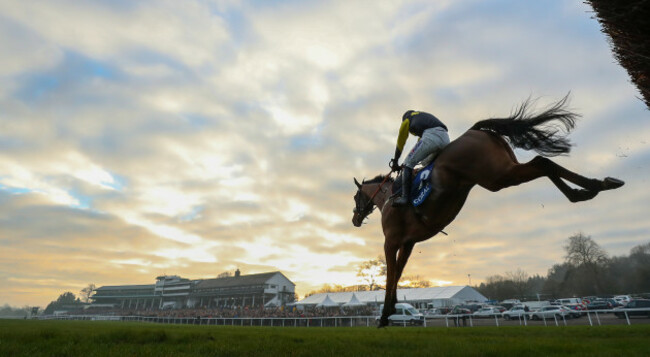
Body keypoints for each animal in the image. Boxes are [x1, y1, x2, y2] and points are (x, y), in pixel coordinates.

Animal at [354, 96, 624, 326]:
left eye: (356, 197)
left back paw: (593, 186)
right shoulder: (408, 243)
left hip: (496, 176)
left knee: (541, 162)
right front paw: (391, 310)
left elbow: (390, 275)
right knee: (542, 163)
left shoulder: (391, 241)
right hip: (504, 169)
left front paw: (384, 316)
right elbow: (398, 273)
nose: (355, 219)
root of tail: (476, 130)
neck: (388, 199)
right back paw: (591, 188)